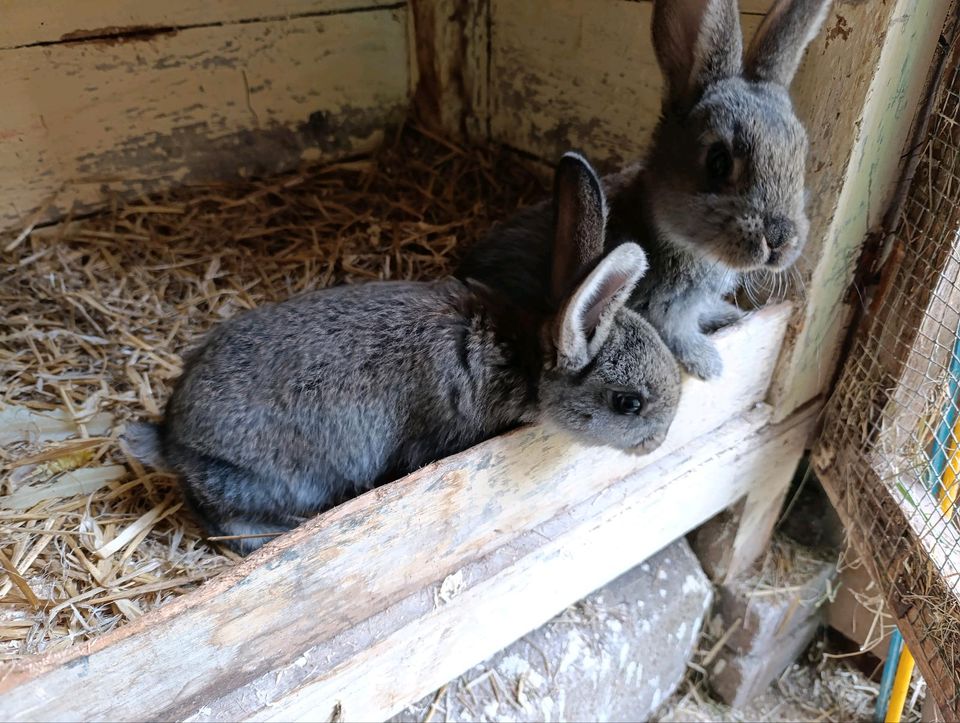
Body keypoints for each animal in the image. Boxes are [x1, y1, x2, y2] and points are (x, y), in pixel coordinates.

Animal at [460, 0, 832, 382]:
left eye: (800, 156)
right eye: (718, 162)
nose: (780, 240)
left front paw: (732, 317)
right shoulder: (661, 311)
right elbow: (676, 334)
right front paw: (708, 363)